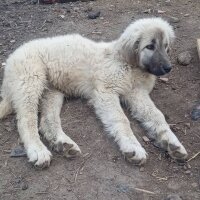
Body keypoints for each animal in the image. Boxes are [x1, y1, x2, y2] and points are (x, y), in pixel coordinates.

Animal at [0, 17, 188, 168]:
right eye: (150, 46)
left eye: (166, 46)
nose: (168, 68)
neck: (130, 66)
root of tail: (12, 58)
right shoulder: (106, 92)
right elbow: (122, 119)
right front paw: (133, 147)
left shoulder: (137, 94)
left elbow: (157, 116)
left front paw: (173, 143)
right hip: (30, 81)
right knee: (26, 120)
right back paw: (38, 150)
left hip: (52, 92)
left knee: (47, 121)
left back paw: (63, 144)